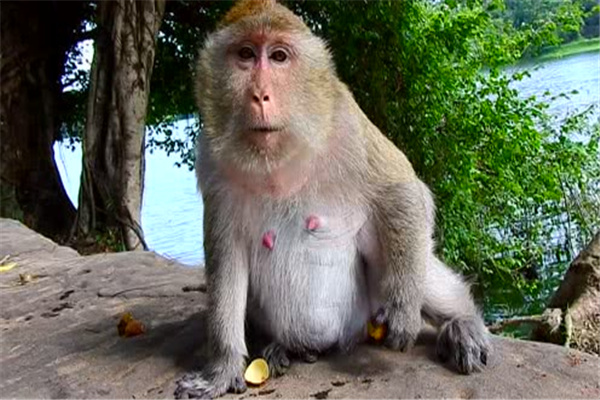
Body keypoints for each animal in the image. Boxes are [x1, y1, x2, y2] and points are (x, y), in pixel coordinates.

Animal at [172, 0, 488, 396]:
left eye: (278, 56)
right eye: (245, 55)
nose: (259, 95)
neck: (278, 163)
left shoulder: (345, 119)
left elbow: (400, 189)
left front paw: (403, 308)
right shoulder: (212, 162)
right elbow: (226, 257)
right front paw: (222, 367)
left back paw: (462, 323)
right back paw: (280, 349)